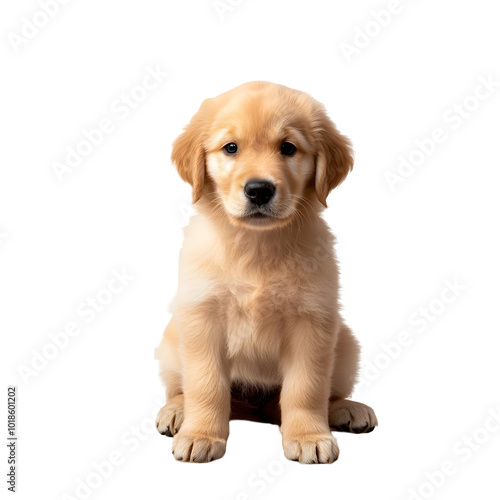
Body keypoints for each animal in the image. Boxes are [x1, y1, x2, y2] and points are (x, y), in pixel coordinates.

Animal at [154, 80, 376, 462]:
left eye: (288, 148)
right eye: (231, 148)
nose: (259, 190)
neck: (256, 244)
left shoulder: (313, 319)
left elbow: (306, 388)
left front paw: (308, 436)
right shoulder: (202, 315)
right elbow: (205, 384)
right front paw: (201, 434)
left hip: (346, 344)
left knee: (315, 395)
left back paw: (346, 408)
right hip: (172, 338)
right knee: (182, 389)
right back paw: (177, 411)